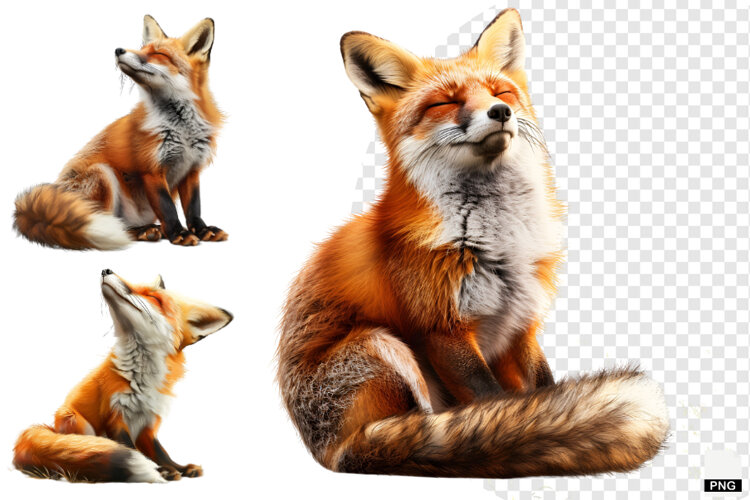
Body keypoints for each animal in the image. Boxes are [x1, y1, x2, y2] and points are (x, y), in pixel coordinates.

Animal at [13, 15, 227, 250]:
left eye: (159, 54)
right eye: (142, 48)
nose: (118, 50)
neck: (182, 128)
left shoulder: (192, 168)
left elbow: (194, 207)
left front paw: (202, 230)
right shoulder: (151, 169)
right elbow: (168, 207)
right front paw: (179, 233)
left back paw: (150, 229)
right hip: (102, 175)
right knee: (109, 223)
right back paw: (140, 231)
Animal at [13, 269, 233, 482]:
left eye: (152, 297)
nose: (106, 270)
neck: (143, 377)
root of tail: (52, 429)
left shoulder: (148, 422)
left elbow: (160, 452)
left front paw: (178, 467)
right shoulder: (116, 415)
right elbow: (132, 449)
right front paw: (161, 471)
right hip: (78, 422)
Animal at [278, 9, 669, 478]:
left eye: (501, 91)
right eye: (444, 103)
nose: (500, 111)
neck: (501, 239)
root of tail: (330, 452)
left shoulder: (521, 322)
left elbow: (544, 389)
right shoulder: (442, 327)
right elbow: (490, 402)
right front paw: (515, 432)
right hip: (378, 344)